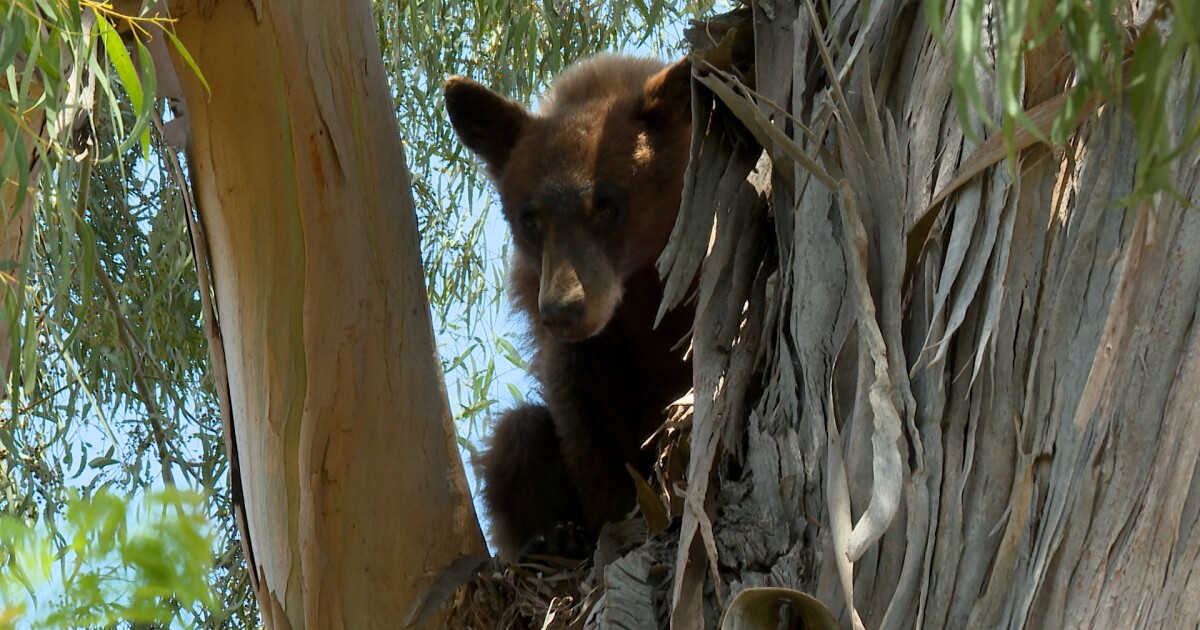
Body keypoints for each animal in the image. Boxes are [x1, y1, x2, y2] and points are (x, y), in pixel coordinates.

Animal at [444, 54, 694, 561]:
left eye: (607, 206)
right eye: (529, 218)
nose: (563, 310)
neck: (640, 283)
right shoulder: (579, 342)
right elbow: (583, 416)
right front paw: (617, 515)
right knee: (520, 430)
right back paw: (556, 536)